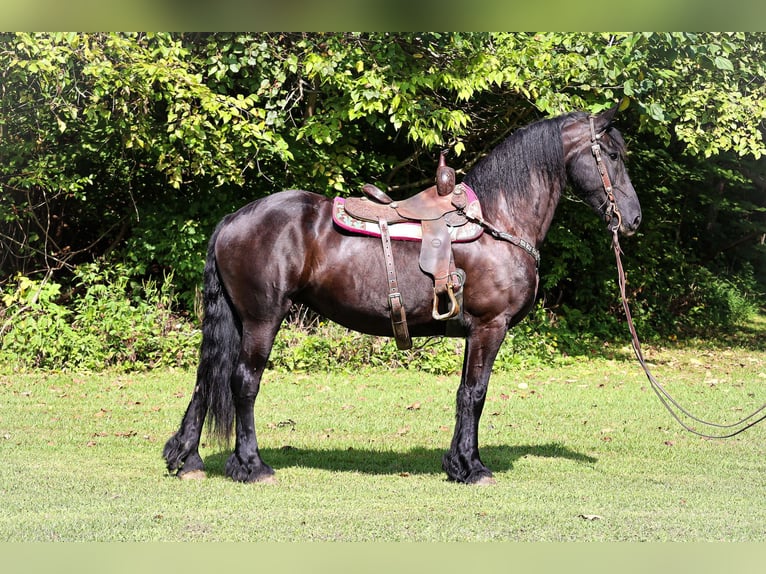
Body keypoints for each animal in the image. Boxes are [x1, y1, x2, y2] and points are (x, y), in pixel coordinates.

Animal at [163, 105, 642, 485]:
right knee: (243, 382)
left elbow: (464, 394)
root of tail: (234, 219)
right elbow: (477, 394)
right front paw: (473, 469)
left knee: (209, 378)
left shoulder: (473, 332)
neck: (498, 222)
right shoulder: (491, 327)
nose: (633, 218)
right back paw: (251, 465)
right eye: (611, 155)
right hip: (263, 319)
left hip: (238, 319)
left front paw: (458, 463)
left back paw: (187, 459)